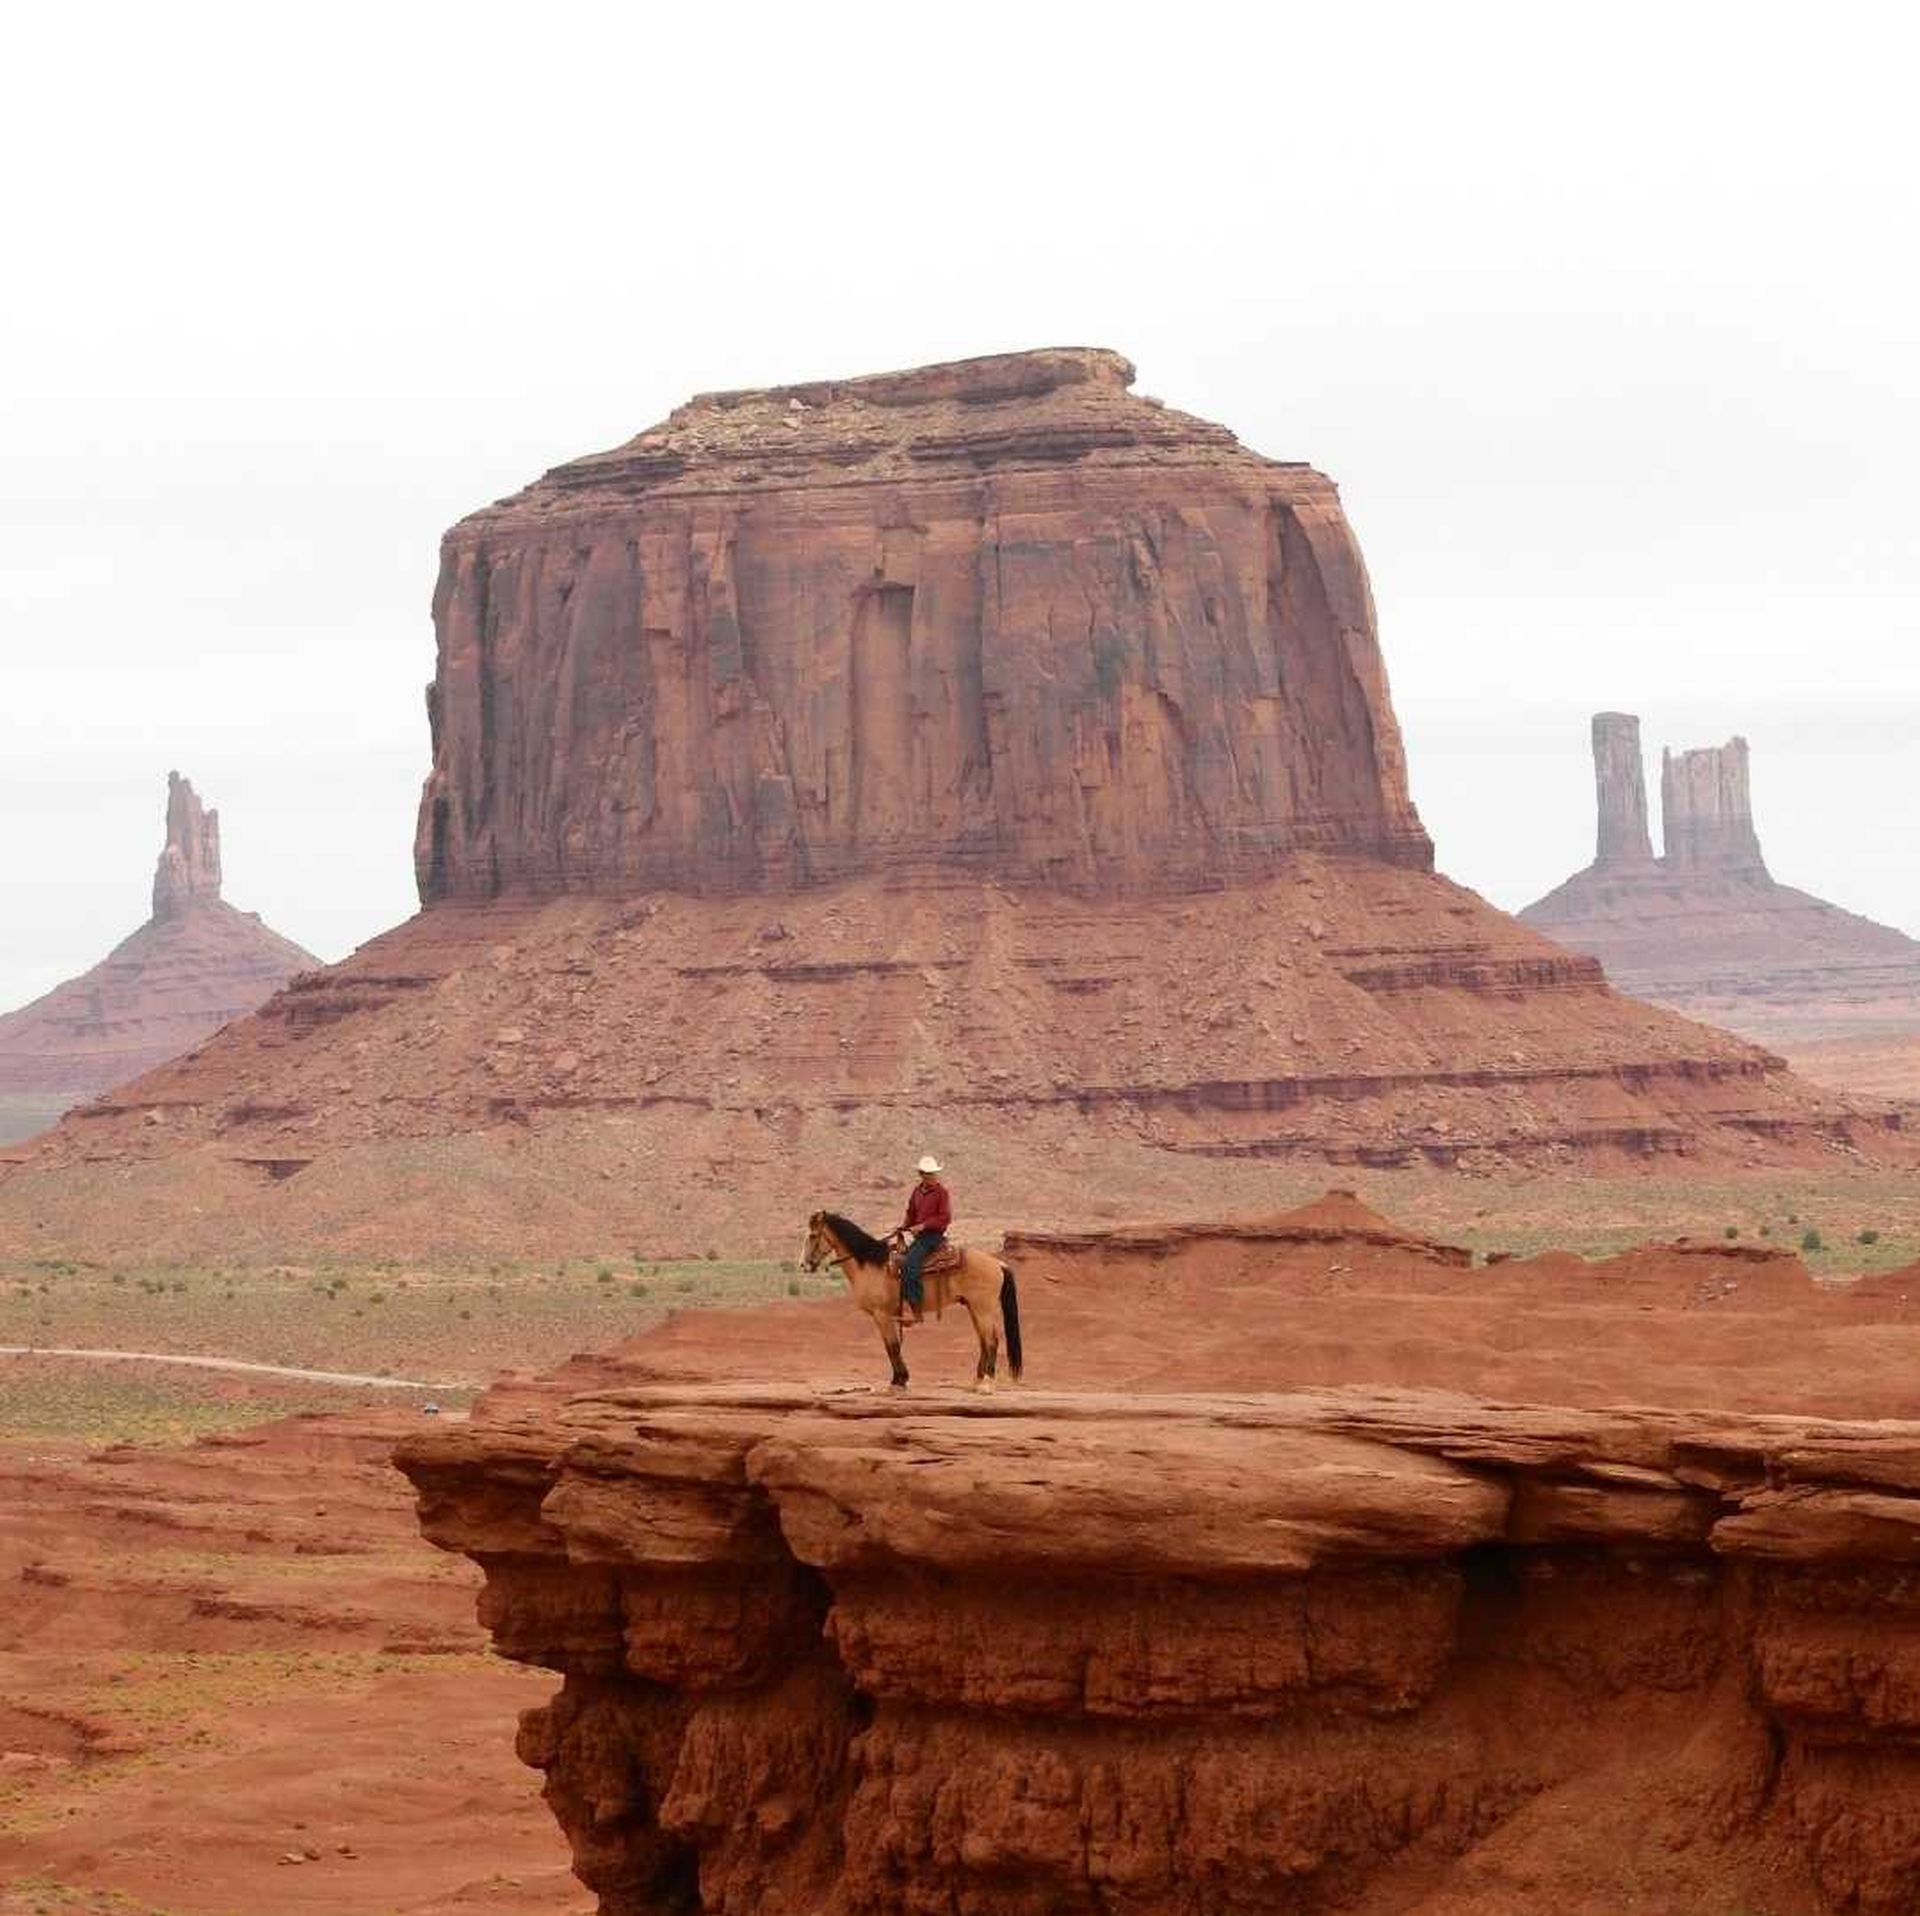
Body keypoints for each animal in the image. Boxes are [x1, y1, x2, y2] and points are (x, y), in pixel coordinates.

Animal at [802, 1213, 1029, 1397]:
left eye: (812, 1236)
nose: (803, 1265)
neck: (871, 1265)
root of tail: (998, 1263)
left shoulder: (882, 1314)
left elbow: (892, 1347)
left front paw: (898, 1382)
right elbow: (891, 1347)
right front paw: (899, 1381)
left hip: (983, 1309)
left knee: (991, 1340)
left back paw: (986, 1384)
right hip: (974, 1308)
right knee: (983, 1341)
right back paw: (977, 1381)